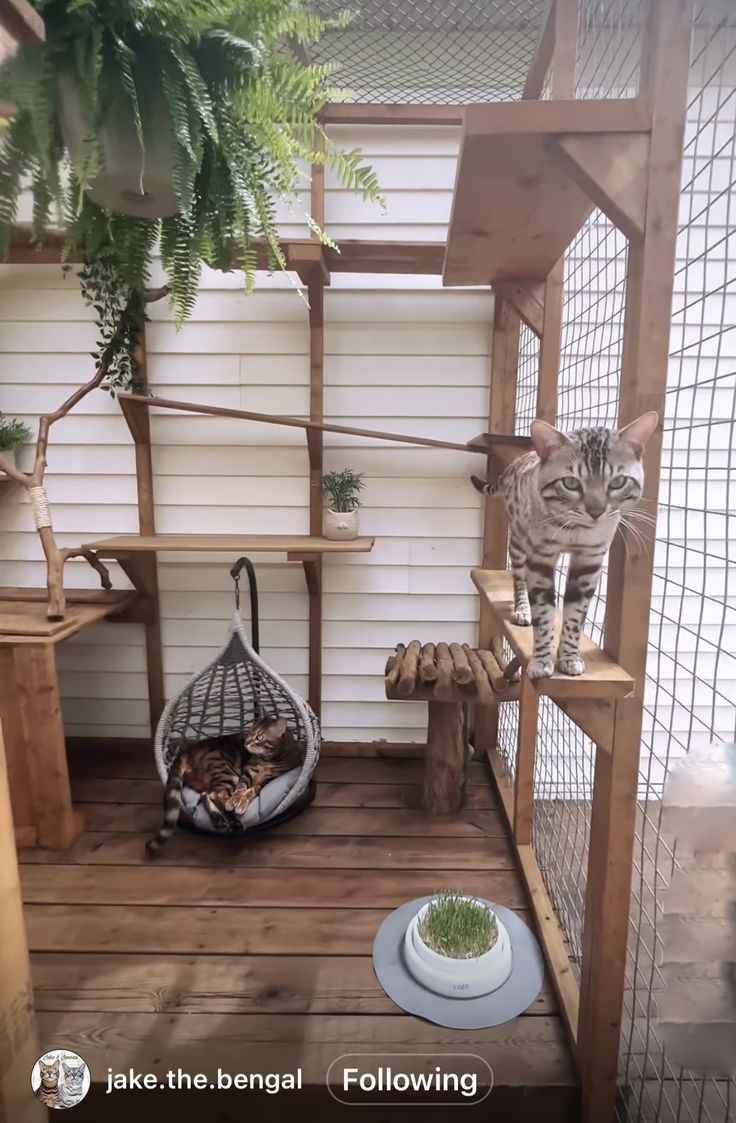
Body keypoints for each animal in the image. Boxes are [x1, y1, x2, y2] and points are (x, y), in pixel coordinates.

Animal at [147, 714, 303, 853]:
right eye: (250, 732)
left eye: (259, 737)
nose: (246, 742)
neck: (268, 760)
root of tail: (188, 751)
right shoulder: (246, 773)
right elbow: (241, 789)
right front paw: (236, 801)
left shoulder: (269, 780)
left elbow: (252, 790)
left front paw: (241, 800)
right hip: (226, 772)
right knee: (217, 795)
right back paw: (232, 819)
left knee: (207, 794)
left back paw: (220, 820)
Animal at [474, 411, 660, 673]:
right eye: (571, 483)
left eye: (618, 482)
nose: (596, 511)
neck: (575, 530)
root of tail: (517, 462)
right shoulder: (540, 557)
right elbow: (543, 611)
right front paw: (542, 659)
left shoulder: (589, 561)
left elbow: (575, 614)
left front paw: (569, 657)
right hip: (519, 542)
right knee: (519, 578)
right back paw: (522, 609)